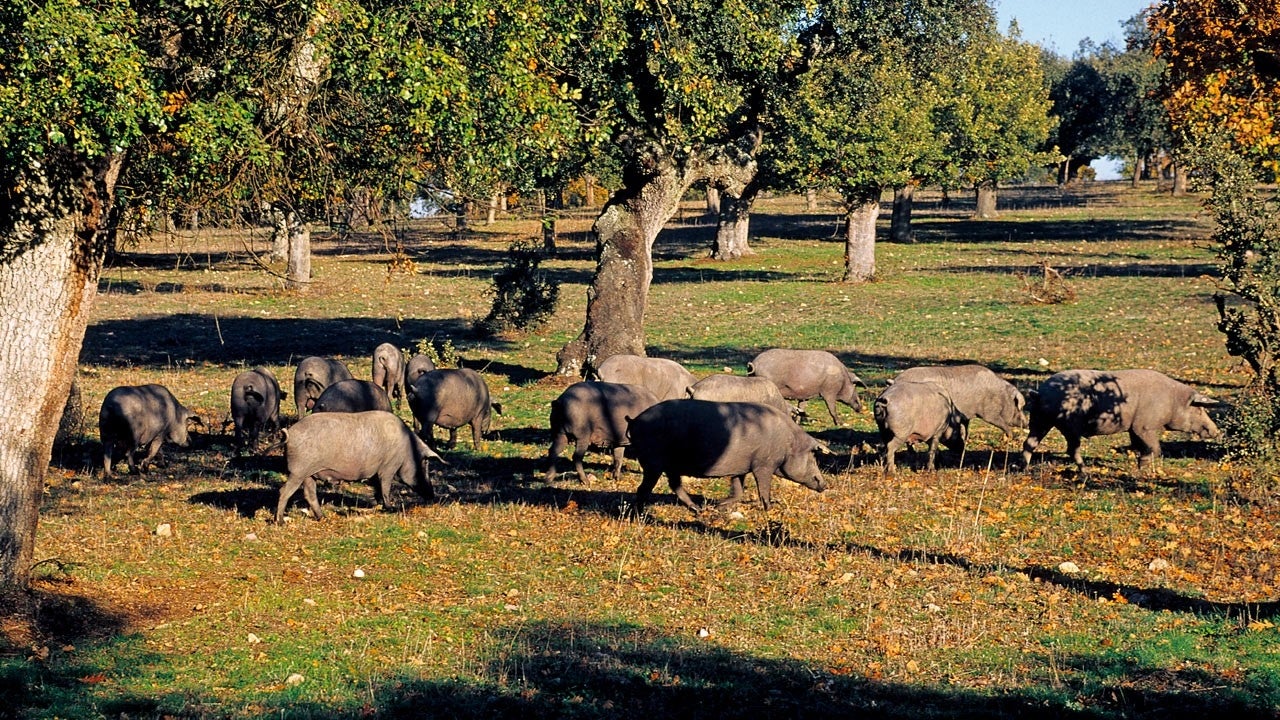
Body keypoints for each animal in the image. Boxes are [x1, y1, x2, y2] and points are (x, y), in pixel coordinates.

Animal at [275, 409, 440, 520]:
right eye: (425, 463)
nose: (432, 495)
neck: (408, 450)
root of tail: (290, 434)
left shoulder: (376, 472)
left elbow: (378, 488)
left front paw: (378, 505)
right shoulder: (388, 467)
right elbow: (385, 486)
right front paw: (391, 508)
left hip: (309, 474)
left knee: (309, 494)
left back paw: (323, 517)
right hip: (298, 471)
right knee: (284, 491)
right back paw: (280, 521)